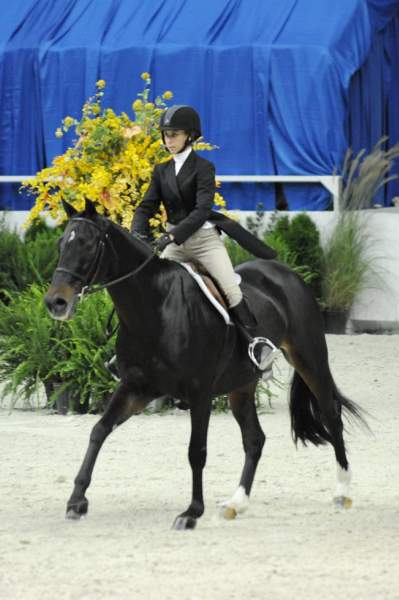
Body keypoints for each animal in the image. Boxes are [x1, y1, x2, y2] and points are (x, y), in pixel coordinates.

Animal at [44, 200, 368, 528]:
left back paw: (342, 491)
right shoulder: (136, 388)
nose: (55, 303)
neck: (154, 308)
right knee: (255, 439)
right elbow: (99, 430)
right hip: (242, 384)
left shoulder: (199, 394)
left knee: (331, 416)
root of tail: (286, 274)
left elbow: (196, 451)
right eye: (61, 244)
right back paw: (236, 503)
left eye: (88, 244)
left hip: (310, 359)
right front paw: (77, 501)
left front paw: (191, 512)